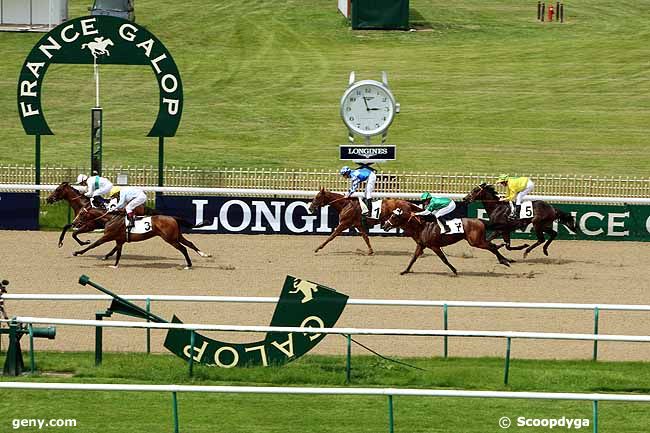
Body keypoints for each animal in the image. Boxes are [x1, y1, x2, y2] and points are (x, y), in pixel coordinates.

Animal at [71, 208, 209, 268]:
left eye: (81, 214)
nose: (73, 223)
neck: (111, 219)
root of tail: (172, 217)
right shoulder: (119, 240)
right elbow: (118, 252)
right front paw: (114, 264)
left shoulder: (107, 236)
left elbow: (93, 245)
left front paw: (77, 252)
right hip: (176, 236)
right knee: (190, 243)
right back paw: (203, 254)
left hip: (170, 239)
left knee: (183, 249)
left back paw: (189, 264)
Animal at [380, 206, 512, 274]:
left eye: (394, 216)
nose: (385, 226)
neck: (422, 226)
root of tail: (480, 221)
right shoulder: (421, 245)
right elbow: (413, 258)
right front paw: (405, 271)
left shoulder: (434, 246)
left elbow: (444, 259)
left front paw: (454, 270)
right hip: (477, 240)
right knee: (493, 245)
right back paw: (504, 259)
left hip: (475, 241)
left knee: (492, 247)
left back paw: (504, 261)